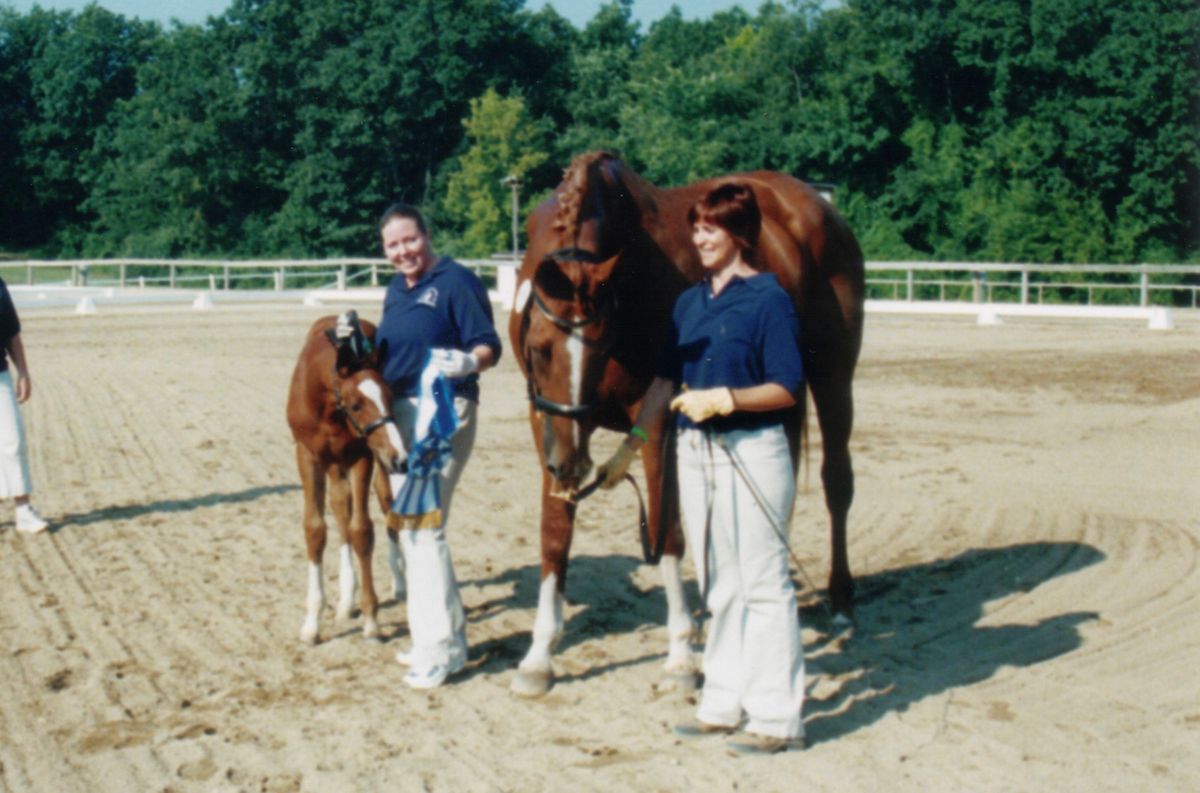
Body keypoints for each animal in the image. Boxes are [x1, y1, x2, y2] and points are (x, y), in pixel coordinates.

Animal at [285, 314, 408, 643]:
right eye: (356, 405)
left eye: (390, 396)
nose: (400, 457)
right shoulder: (308, 456)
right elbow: (316, 529)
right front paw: (312, 623)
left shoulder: (361, 456)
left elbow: (362, 530)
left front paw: (371, 620)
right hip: (335, 464)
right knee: (341, 507)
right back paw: (345, 600)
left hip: (374, 459)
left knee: (386, 503)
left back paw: (399, 582)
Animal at [506, 151, 864, 695]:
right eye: (541, 349)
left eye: (604, 347)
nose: (570, 464)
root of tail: (815, 205)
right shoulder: (545, 420)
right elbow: (554, 531)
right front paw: (539, 655)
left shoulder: (657, 418)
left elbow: (667, 530)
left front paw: (679, 653)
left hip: (832, 375)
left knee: (836, 482)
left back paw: (841, 599)